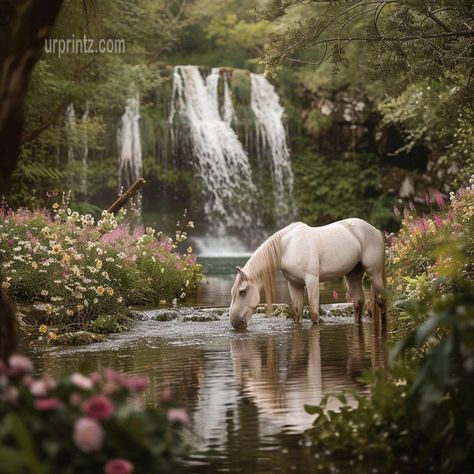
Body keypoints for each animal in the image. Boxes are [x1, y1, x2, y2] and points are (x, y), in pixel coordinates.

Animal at [229, 218, 386, 330]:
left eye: (242, 292)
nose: (234, 322)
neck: (288, 248)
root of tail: (376, 230)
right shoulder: (294, 284)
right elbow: (297, 313)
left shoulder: (312, 280)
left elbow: (314, 315)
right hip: (353, 275)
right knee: (358, 303)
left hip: (374, 273)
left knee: (381, 300)